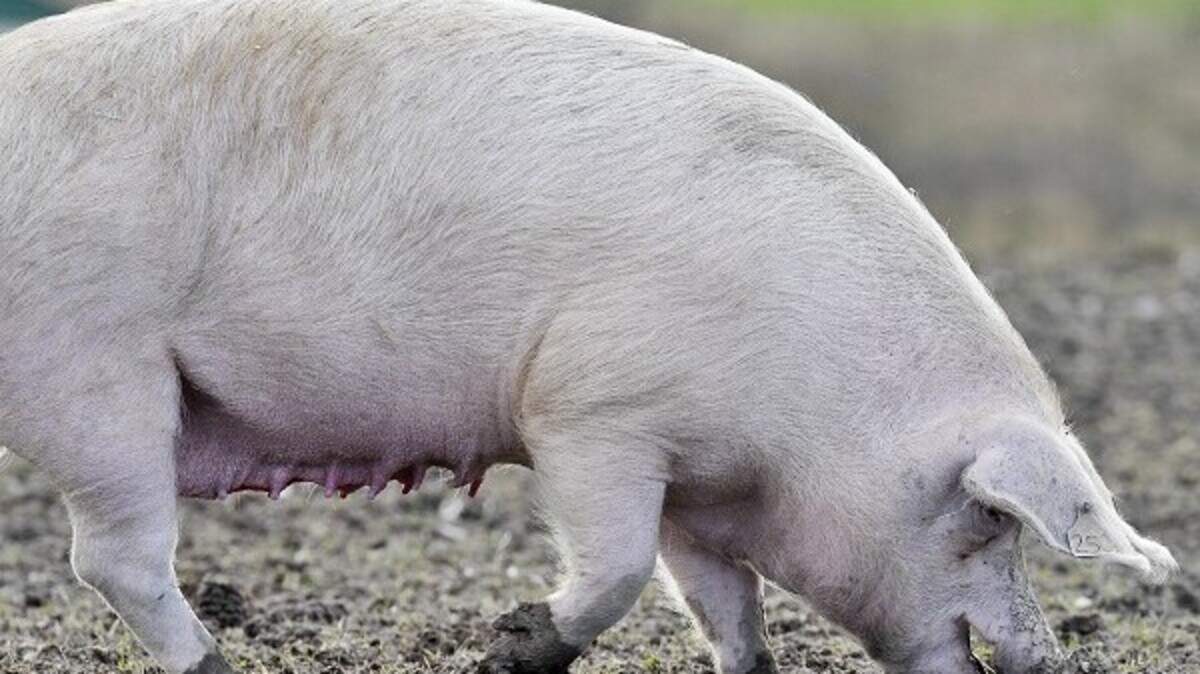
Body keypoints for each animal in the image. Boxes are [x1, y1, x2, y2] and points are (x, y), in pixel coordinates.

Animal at [0, 0, 1178, 672]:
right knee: (115, 557)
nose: (1048, 661)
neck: (802, 421)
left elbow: (725, 605)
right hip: (97, 374)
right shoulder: (593, 410)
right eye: (983, 524)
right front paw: (507, 650)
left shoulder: (698, 484)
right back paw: (213, 664)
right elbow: (614, 567)